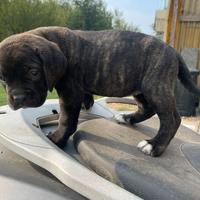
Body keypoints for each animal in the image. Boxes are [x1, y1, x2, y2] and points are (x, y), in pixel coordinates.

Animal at [0, 26, 200, 156]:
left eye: (34, 72)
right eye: (2, 78)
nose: (18, 97)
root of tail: (173, 51)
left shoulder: (70, 93)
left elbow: (66, 119)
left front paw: (57, 139)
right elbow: (84, 98)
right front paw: (87, 103)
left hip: (155, 86)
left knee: (172, 119)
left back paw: (154, 145)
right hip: (141, 87)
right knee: (147, 108)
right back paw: (127, 118)